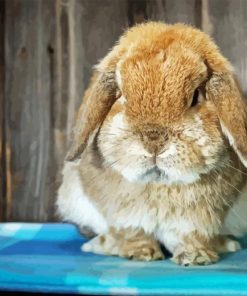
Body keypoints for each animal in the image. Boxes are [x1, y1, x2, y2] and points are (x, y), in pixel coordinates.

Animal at [57, 21, 247, 266]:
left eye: (196, 96)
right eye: (121, 95)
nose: (154, 141)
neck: (159, 184)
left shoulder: (197, 219)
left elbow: (192, 235)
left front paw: (196, 257)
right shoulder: (123, 215)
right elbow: (131, 232)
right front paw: (139, 253)